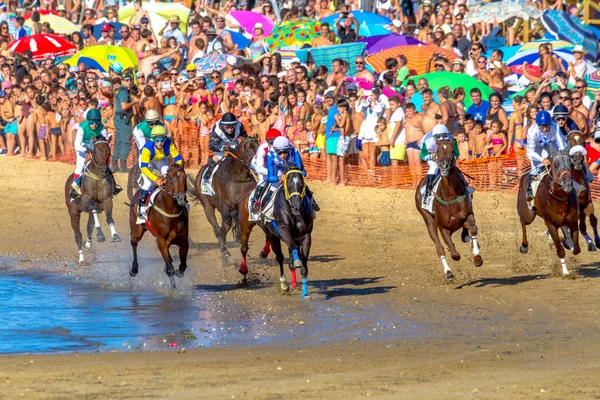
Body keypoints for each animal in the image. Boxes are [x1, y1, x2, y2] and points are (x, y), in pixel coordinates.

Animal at [64, 139, 120, 268]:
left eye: (108, 150)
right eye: (95, 150)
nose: (103, 169)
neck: (97, 178)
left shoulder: (107, 200)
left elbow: (109, 218)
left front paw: (115, 236)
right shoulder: (87, 200)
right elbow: (93, 210)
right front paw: (100, 235)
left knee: (89, 226)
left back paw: (88, 244)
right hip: (73, 212)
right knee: (78, 235)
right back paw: (81, 259)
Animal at [128, 159, 188, 288]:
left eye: (185, 177)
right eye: (170, 178)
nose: (180, 198)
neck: (171, 210)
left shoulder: (183, 238)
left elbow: (182, 266)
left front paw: (179, 271)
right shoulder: (161, 240)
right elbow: (170, 269)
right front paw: (174, 289)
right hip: (137, 230)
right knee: (134, 242)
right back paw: (134, 269)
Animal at [191, 138, 258, 266]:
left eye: (258, 147)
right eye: (248, 149)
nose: (255, 165)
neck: (238, 176)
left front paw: (238, 236)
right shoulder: (226, 205)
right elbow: (229, 222)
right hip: (207, 206)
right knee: (217, 229)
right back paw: (224, 251)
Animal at [238, 167, 316, 298]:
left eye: (302, 183)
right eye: (288, 183)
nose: (296, 206)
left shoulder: (305, 236)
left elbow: (303, 262)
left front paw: (305, 291)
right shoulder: (283, 230)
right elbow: (286, 254)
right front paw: (285, 283)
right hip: (246, 225)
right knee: (246, 249)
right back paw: (244, 273)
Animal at [412, 140, 482, 282]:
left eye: (452, 150)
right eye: (438, 151)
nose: (444, 166)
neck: (450, 195)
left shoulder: (468, 215)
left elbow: (473, 229)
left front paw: (477, 257)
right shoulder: (443, 227)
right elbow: (454, 254)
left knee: (465, 234)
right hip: (428, 220)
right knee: (439, 248)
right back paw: (448, 272)